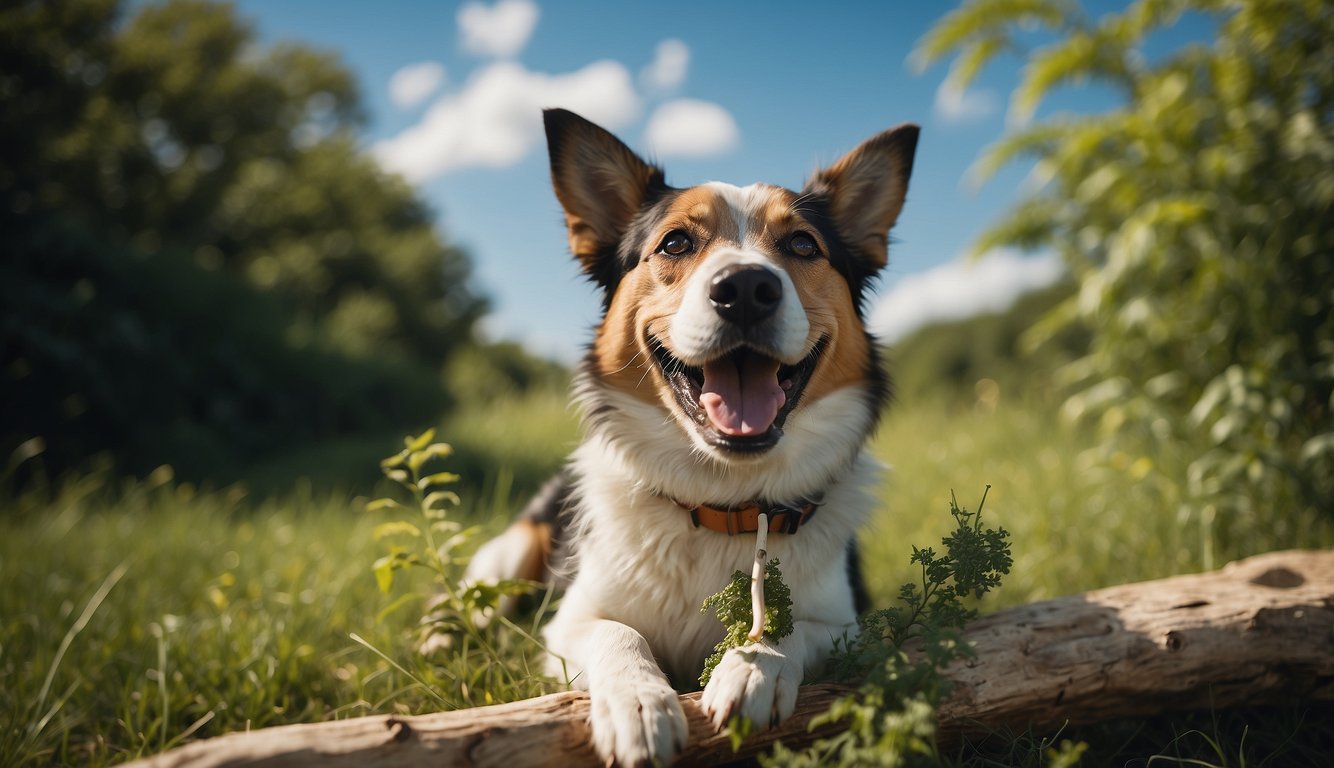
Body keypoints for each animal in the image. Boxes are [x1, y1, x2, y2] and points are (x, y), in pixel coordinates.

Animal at [466, 109, 917, 768]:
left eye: (802, 245)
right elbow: (617, 632)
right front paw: (638, 704)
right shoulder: (568, 621)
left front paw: (753, 670)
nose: (747, 288)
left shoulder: (847, 622)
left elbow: (792, 628)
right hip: (515, 550)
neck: (722, 502)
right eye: (676, 242)